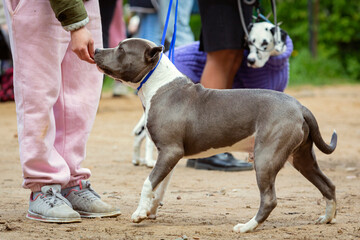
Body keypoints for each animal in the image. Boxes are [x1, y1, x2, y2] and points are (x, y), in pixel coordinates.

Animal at [95, 39, 338, 232]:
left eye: (121, 48)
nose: (96, 48)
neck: (158, 84)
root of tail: (300, 107)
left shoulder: (170, 152)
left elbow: (148, 183)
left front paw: (138, 213)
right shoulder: (169, 156)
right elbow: (159, 187)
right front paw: (149, 211)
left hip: (266, 158)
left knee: (269, 199)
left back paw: (247, 227)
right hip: (301, 158)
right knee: (328, 185)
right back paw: (327, 218)